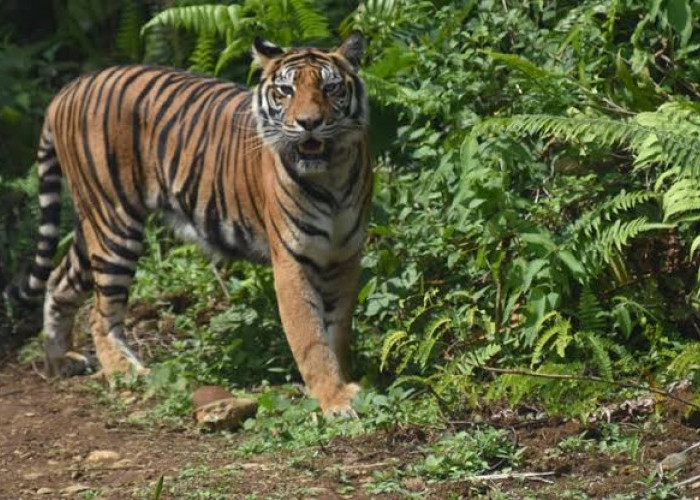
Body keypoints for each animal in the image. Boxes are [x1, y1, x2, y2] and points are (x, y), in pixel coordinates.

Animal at [6, 33, 372, 416]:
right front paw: (334, 399)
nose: (309, 122)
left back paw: (59, 360)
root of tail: (68, 89)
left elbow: (337, 330)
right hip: (114, 224)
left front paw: (345, 381)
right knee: (100, 314)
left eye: (331, 88)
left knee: (59, 279)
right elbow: (311, 338)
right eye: (286, 90)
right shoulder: (292, 260)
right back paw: (126, 372)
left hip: (93, 220)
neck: (331, 177)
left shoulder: (344, 255)